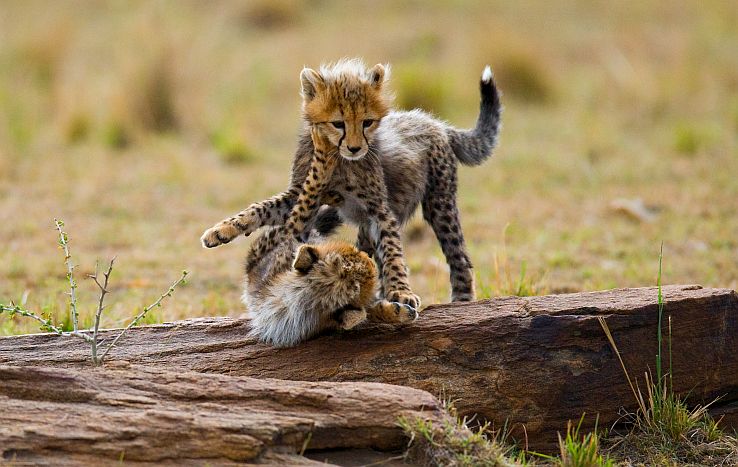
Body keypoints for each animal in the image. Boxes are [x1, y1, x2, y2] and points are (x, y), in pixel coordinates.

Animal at [202, 59, 501, 305]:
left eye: (367, 122)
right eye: (338, 123)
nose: (356, 149)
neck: (337, 158)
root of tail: (432, 120)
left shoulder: (380, 209)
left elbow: (393, 251)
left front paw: (401, 291)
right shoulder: (300, 193)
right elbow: (260, 208)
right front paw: (222, 230)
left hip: (439, 205)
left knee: (457, 254)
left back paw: (461, 300)